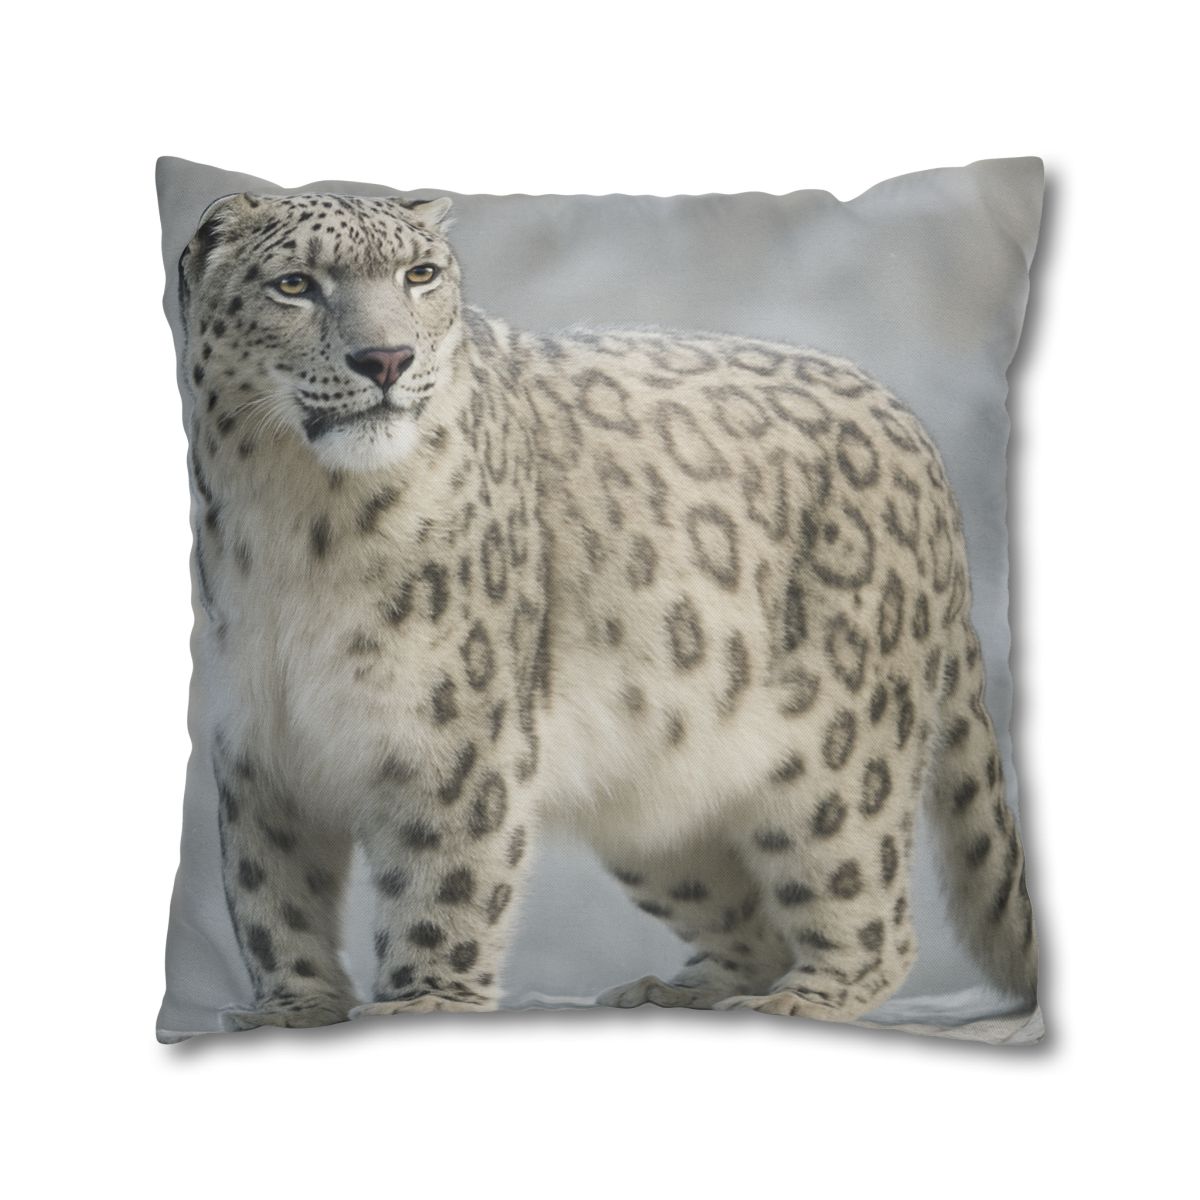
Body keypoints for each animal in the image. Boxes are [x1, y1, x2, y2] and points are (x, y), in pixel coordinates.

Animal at [177, 190, 1037, 1030]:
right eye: (295, 284)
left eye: (419, 274)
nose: (386, 359)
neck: (296, 524)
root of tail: (913, 432)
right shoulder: (257, 745)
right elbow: (269, 892)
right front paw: (293, 1008)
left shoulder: (452, 733)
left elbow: (442, 877)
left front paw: (424, 1001)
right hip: (657, 809)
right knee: (747, 917)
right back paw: (677, 989)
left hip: (841, 758)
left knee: (866, 905)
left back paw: (804, 998)